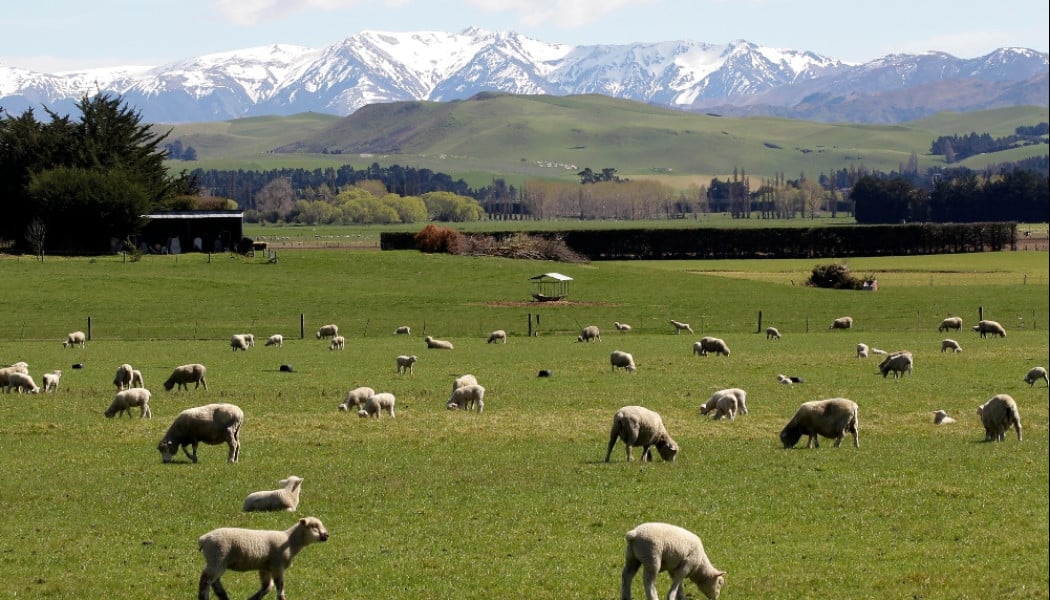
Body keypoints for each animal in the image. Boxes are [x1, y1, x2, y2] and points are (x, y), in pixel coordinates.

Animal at [196, 516, 327, 600]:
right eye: (314, 526)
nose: (326, 535)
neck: (290, 541)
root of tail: (204, 538)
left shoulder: (265, 568)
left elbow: (267, 587)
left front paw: (252, 599)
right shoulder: (277, 565)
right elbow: (280, 586)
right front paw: (281, 598)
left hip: (219, 561)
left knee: (214, 582)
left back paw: (224, 596)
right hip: (218, 557)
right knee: (205, 581)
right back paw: (205, 597)